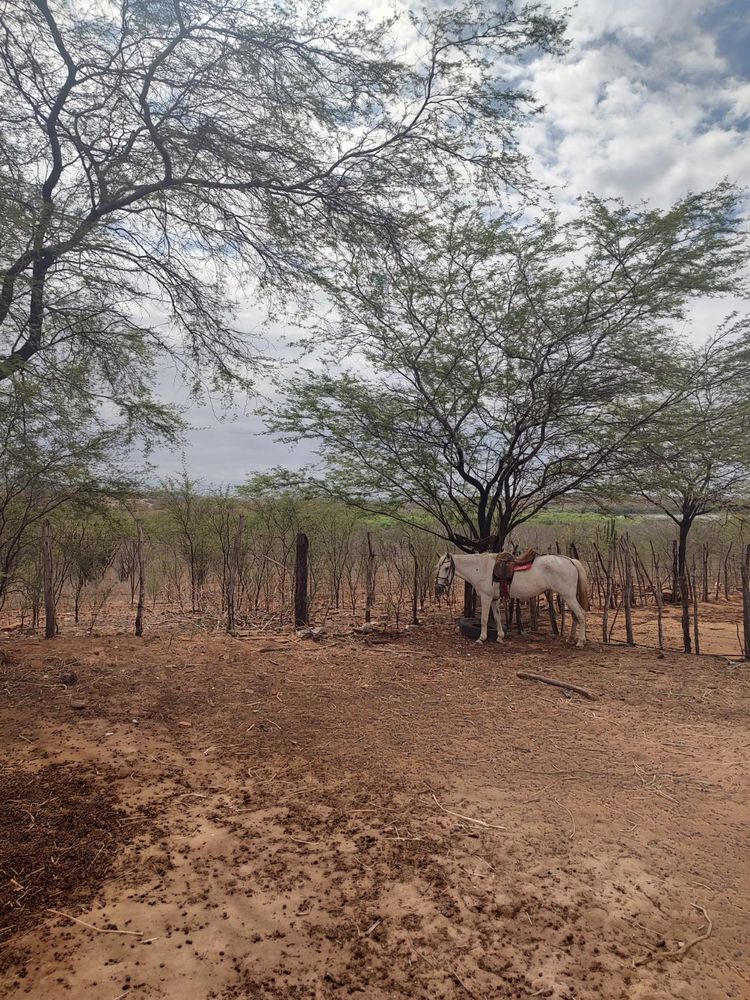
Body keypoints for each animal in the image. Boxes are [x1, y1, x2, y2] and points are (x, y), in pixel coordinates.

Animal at [435, 552, 590, 648]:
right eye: (438, 567)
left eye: (447, 568)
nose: (438, 589)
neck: (480, 568)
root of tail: (570, 561)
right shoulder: (494, 599)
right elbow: (497, 618)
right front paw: (500, 637)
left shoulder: (486, 597)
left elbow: (484, 619)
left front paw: (481, 638)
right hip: (567, 597)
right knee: (575, 616)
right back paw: (570, 639)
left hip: (568, 596)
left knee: (581, 615)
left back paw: (580, 642)